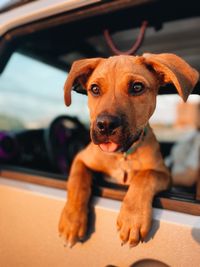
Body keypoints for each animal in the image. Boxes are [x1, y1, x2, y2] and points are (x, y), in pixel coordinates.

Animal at [57, 53, 198, 248]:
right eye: (94, 89)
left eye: (137, 87)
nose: (105, 125)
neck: (122, 156)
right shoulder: (81, 158)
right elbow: (77, 182)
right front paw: (71, 221)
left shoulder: (164, 174)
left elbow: (145, 176)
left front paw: (133, 218)